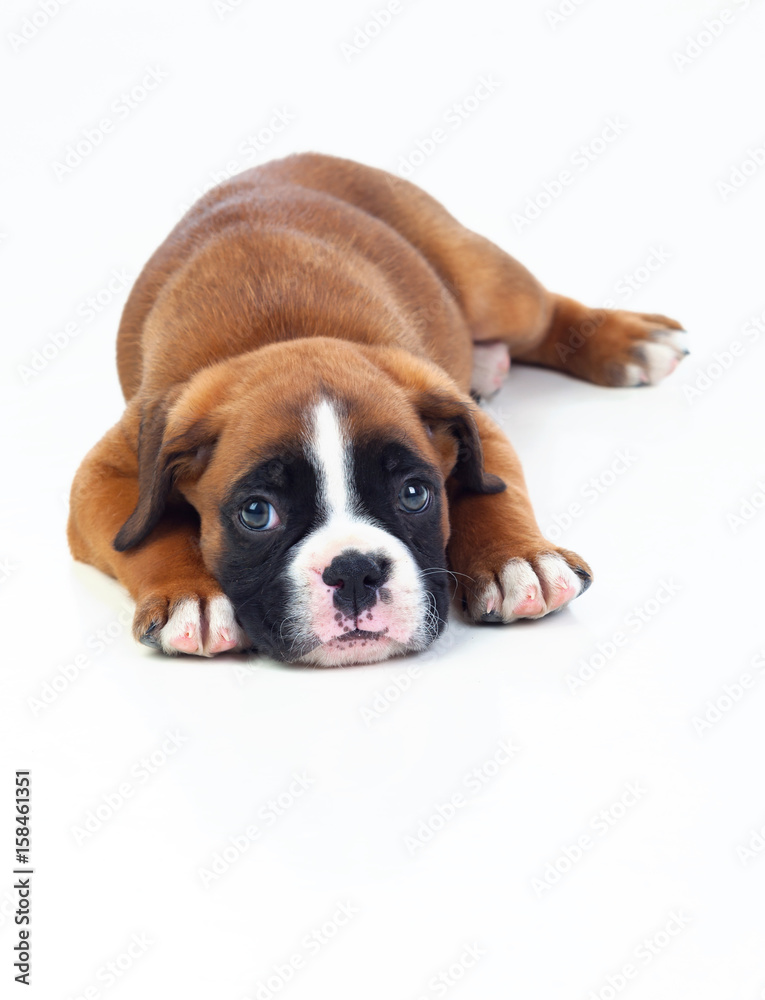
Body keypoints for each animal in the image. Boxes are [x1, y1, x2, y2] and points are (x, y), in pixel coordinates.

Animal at [67, 154, 688, 664]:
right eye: (256, 513)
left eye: (414, 495)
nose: (354, 572)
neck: (283, 338)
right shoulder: (109, 472)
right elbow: (145, 533)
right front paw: (192, 597)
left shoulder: (470, 420)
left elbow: (491, 491)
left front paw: (519, 561)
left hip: (491, 286)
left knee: (548, 313)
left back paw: (629, 341)